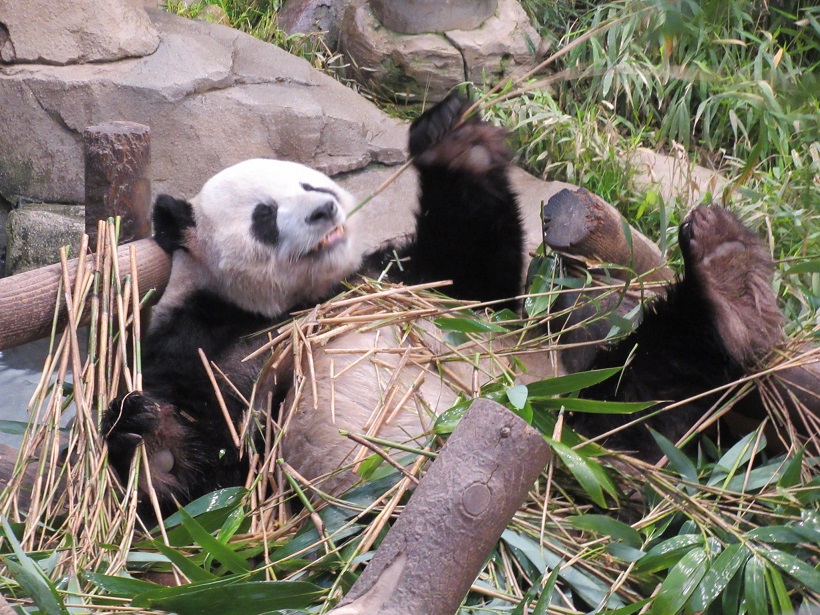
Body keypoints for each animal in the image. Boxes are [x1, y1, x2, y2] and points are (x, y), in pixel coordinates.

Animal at [101, 94, 788, 516]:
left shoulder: (405, 278)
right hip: (577, 437)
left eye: (313, 183)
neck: (302, 301)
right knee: (649, 401)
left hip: (570, 410)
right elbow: (205, 470)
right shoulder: (205, 340)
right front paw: (155, 446)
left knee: (652, 383)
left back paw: (730, 278)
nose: (323, 210)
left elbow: (478, 271)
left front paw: (458, 143)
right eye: (264, 216)